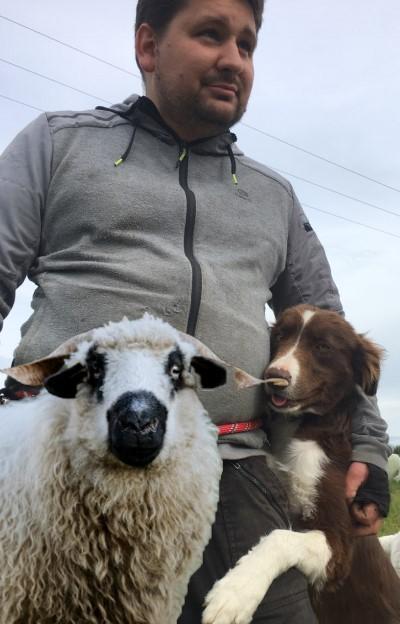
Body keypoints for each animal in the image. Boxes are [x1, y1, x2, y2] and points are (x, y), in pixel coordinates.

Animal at [205, 304, 398, 624]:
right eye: (280, 337)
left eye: (323, 347)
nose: (275, 376)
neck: (297, 428)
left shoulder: (339, 549)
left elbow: (281, 537)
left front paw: (234, 593)